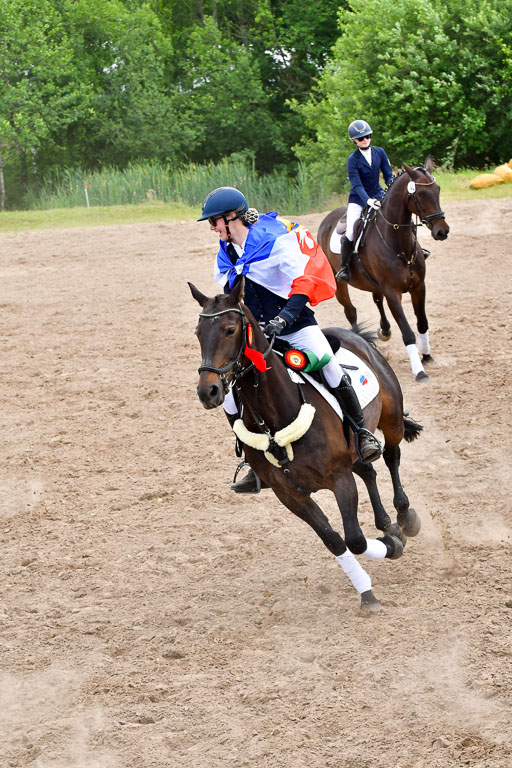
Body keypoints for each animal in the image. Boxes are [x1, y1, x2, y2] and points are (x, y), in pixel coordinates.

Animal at [189, 277, 423, 612]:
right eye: (198, 333)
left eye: (230, 329)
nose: (207, 391)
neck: (276, 419)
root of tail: (353, 335)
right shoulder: (290, 495)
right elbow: (335, 541)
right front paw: (368, 587)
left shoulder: (339, 478)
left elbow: (354, 539)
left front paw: (389, 548)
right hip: (353, 453)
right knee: (368, 471)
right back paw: (387, 525)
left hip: (391, 420)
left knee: (391, 457)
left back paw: (404, 517)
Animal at [317, 158, 449, 382]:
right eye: (421, 194)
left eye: (438, 189)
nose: (442, 231)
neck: (399, 243)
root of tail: (327, 219)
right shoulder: (392, 292)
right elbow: (407, 331)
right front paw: (419, 371)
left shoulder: (418, 287)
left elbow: (422, 323)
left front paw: (427, 356)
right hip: (339, 283)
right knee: (351, 311)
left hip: (373, 282)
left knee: (376, 299)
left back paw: (385, 331)